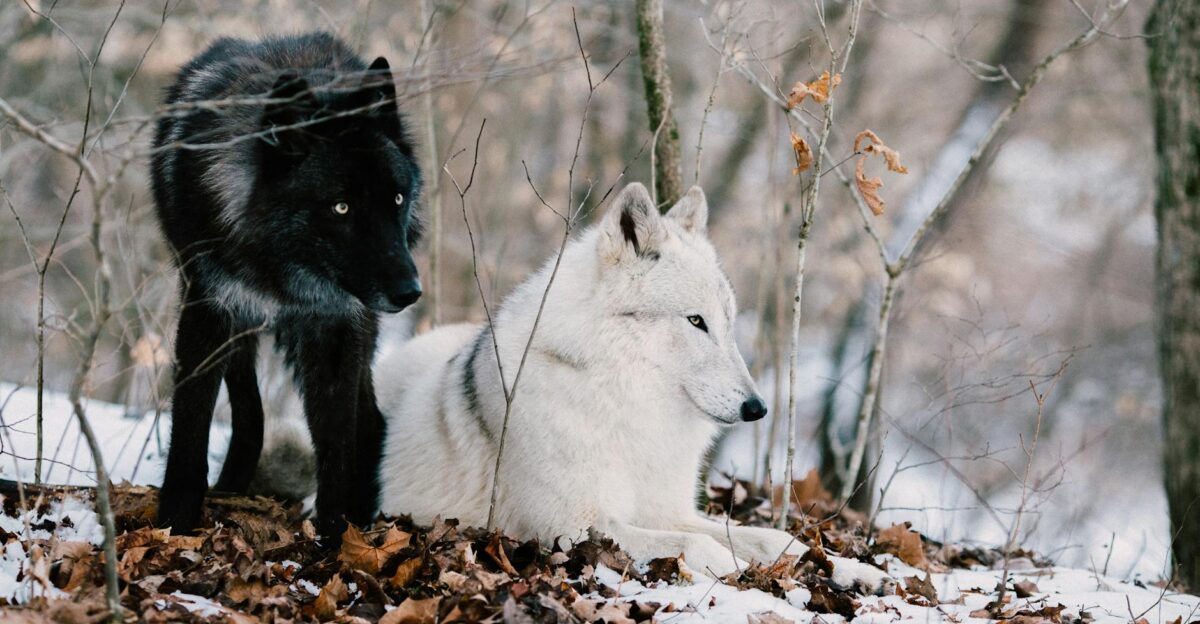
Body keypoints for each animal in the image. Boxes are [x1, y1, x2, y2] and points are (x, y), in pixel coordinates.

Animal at [150, 32, 422, 542]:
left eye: (396, 198)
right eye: (341, 207)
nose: (409, 292)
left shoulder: (335, 327)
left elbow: (336, 442)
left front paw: (336, 537)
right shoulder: (209, 309)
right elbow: (192, 424)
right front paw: (176, 522)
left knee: (369, 422)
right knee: (250, 411)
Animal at [374, 183, 887, 589]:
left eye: (728, 323)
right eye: (695, 321)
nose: (757, 407)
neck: (627, 406)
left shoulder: (669, 511)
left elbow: (775, 538)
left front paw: (852, 569)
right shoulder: (572, 527)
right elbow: (700, 547)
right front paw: (742, 571)